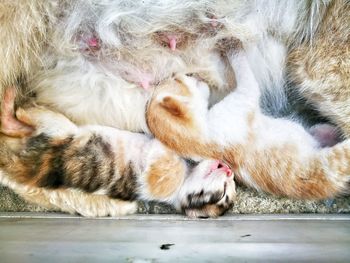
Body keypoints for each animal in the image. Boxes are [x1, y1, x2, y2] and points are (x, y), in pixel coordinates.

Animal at [147, 49, 350, 200]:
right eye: (178, 80)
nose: (191, 73)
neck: (199, 140)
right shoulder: (245, 96)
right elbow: (243, 70)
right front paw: (232, 45)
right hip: (333, 162)